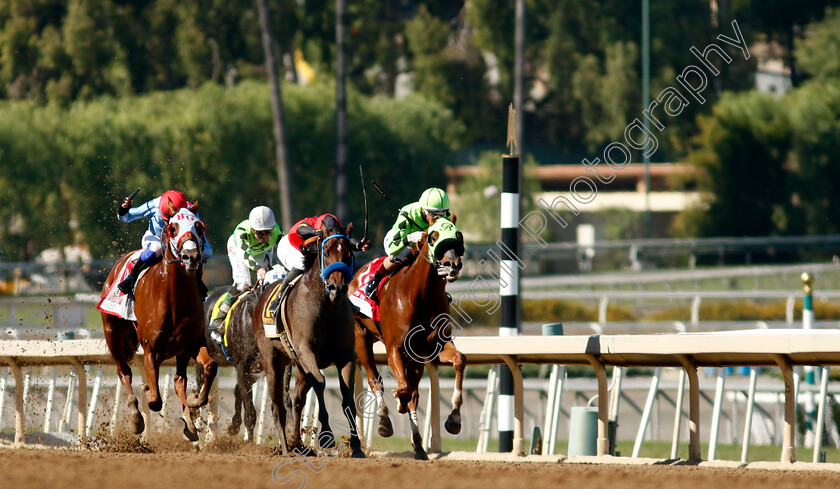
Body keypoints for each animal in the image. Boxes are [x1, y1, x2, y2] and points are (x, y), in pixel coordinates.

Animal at [101, 208, 217, 440]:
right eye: (173, 228)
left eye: (199, 226)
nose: (191, 257)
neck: (173, 296)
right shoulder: (150, 349)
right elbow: (155, 401)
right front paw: (146, 395)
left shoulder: (192, 342)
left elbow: (210, 366)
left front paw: (195, 401)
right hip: (112, 334)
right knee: (124, 371)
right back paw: (136, 417)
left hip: (180, 350)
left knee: (179, 379)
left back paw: (189, 423)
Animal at [253, 221, 364, 458]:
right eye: (326, 251)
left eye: (348, 253)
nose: (337, 288)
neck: (327, 306)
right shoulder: (306, 351)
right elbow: (321, 382)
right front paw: (326, 436)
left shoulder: (345, 355)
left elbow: (347, 396)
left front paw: (357, 446)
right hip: (272, 361)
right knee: (277, 405)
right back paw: (286, 448)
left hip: (298, 365)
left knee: (296, 401)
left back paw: (297, 443)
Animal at [348, 216, 466, 458]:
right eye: (433, 237)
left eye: (458, 236)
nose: (451, 265)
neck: (421, 294)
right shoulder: (395, 348)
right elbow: (402, 388)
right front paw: (397, 403)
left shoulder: (434, 346)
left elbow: (459, 360)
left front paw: (454, 420)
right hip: (361, 336)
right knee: (375, 381)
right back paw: (385, 422)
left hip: (415, 357)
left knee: (413, 392)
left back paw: (419, 447)